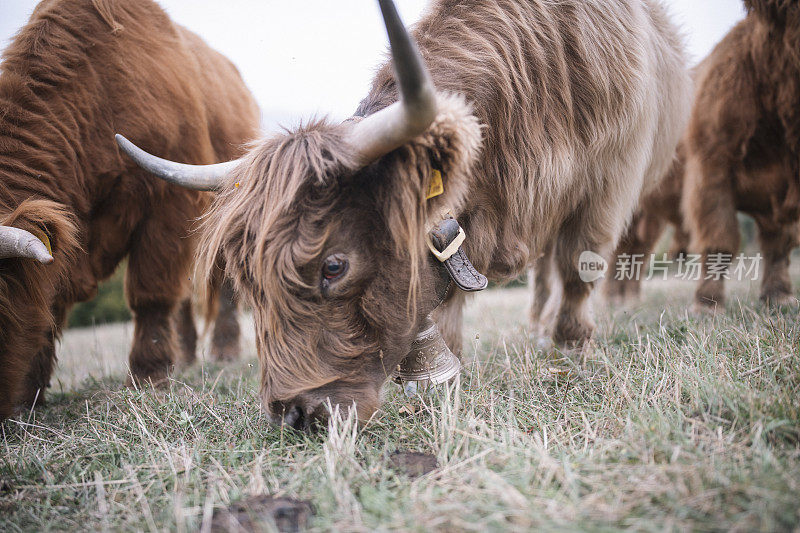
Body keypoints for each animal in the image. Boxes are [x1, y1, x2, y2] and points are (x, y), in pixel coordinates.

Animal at [0, 0, 258, 418]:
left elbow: (150, 292)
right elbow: (50, 306)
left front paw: (148, 378)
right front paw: (28, 397)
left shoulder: (167, 207)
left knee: (223, 285)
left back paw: (224, 352)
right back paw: (185, 357)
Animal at [122, 0, 692, 428]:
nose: (294, 414)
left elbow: (580, 263)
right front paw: (450, 368)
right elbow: (449, 294)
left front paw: (571, 345)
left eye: (333, 266)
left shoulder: (608, 181)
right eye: (249, 284)